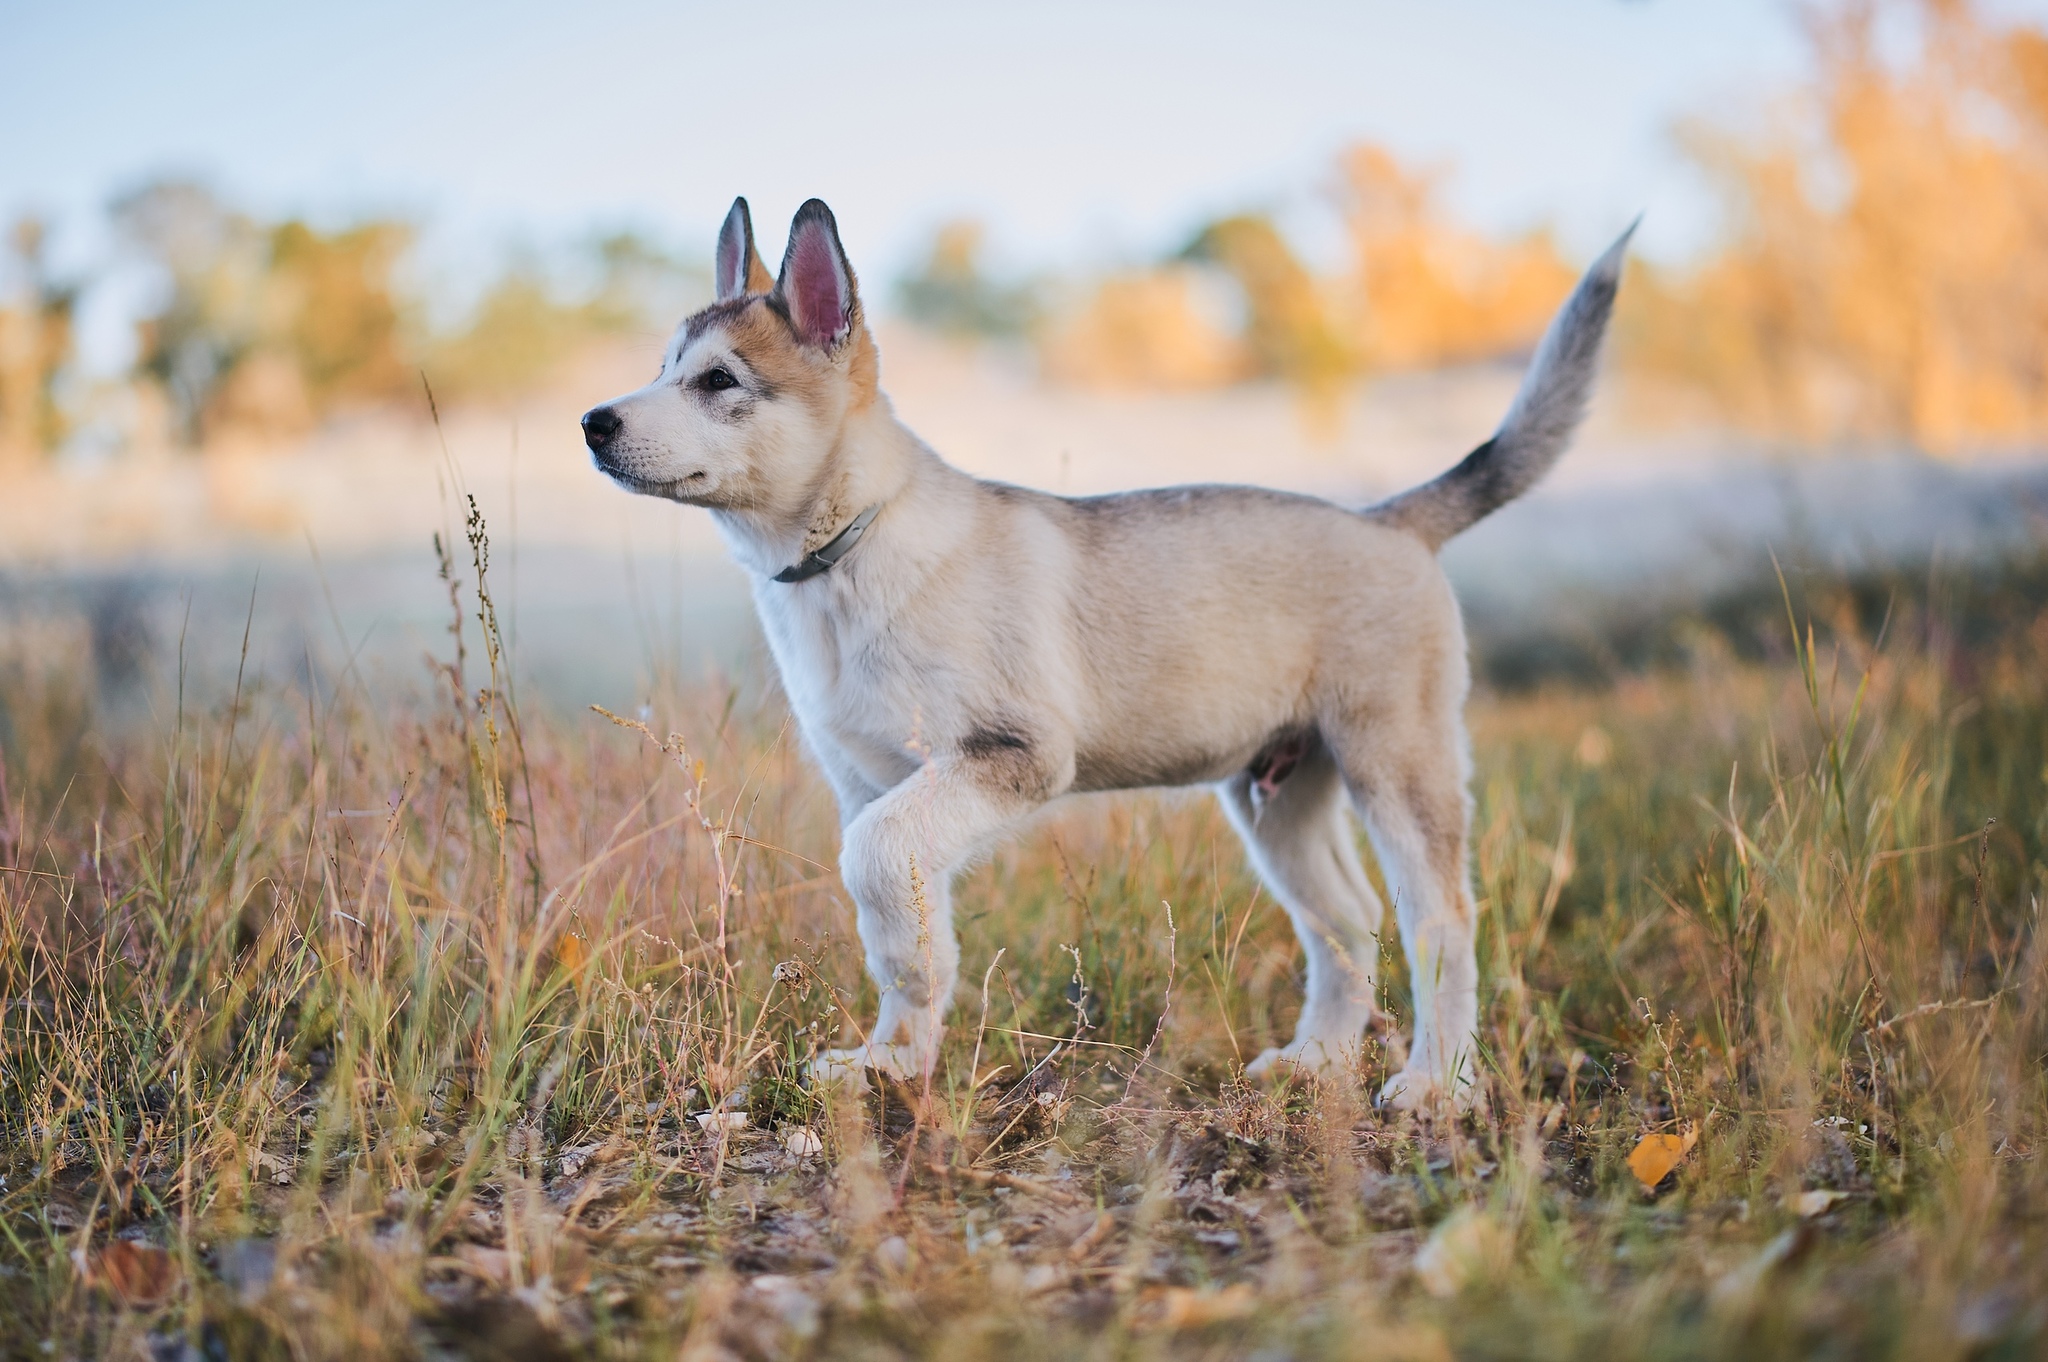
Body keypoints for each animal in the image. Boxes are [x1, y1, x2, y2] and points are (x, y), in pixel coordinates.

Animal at [581, 196, 1630, 1105]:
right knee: (1345, 920)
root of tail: (1393, 521)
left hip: (1396, 771)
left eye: (719, 381)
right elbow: (900, 931)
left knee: (1440, 924)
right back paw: (1317, 1061)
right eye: (665, 366)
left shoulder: (1007, 759)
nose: (594, 422)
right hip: (1279, 798)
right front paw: (893, 1061)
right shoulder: (879, 786)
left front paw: (902, 1051)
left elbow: (874, 868)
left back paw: (1435, 1086)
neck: (849, 551)